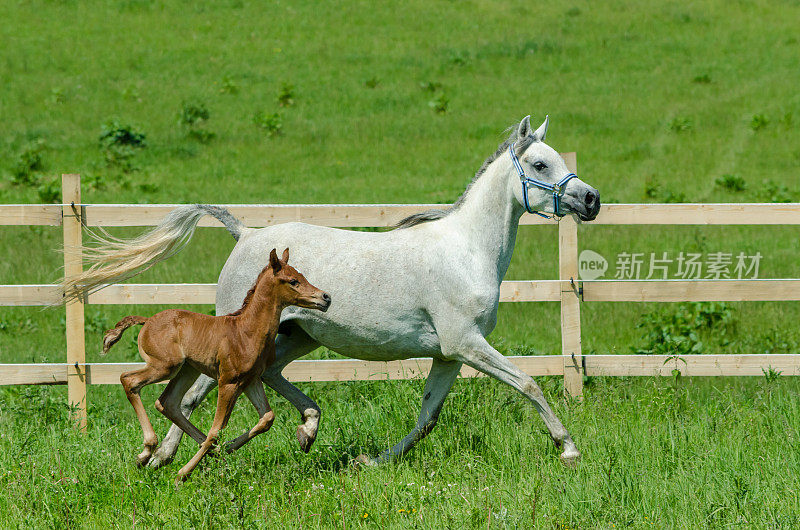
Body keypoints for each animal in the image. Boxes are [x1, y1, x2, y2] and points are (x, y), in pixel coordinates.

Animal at [103, 246, 328, 478]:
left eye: (302, 276)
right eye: (293, 281)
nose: (325, 297)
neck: (246, 331)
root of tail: (147, 321)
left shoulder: (251, 380)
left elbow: (266, 418)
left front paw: (226, 448)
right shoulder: (228, 381)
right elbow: (216, 429)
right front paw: (183, 474)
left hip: (187, 370)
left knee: (168, 402)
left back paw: (206, 451)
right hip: (165, 366)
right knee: (129, 380)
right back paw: (147, 451)